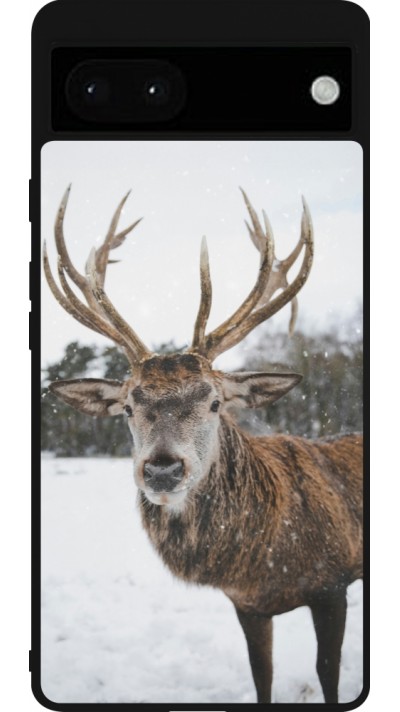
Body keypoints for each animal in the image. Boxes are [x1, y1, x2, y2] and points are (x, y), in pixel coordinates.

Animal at [43, 186, 363, 704]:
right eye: (128, 407)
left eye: (215, 402)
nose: (162, 469)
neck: (265, 559)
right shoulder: (248, 604)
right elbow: (261, 675)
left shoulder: (333, 582)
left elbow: (328, 673)